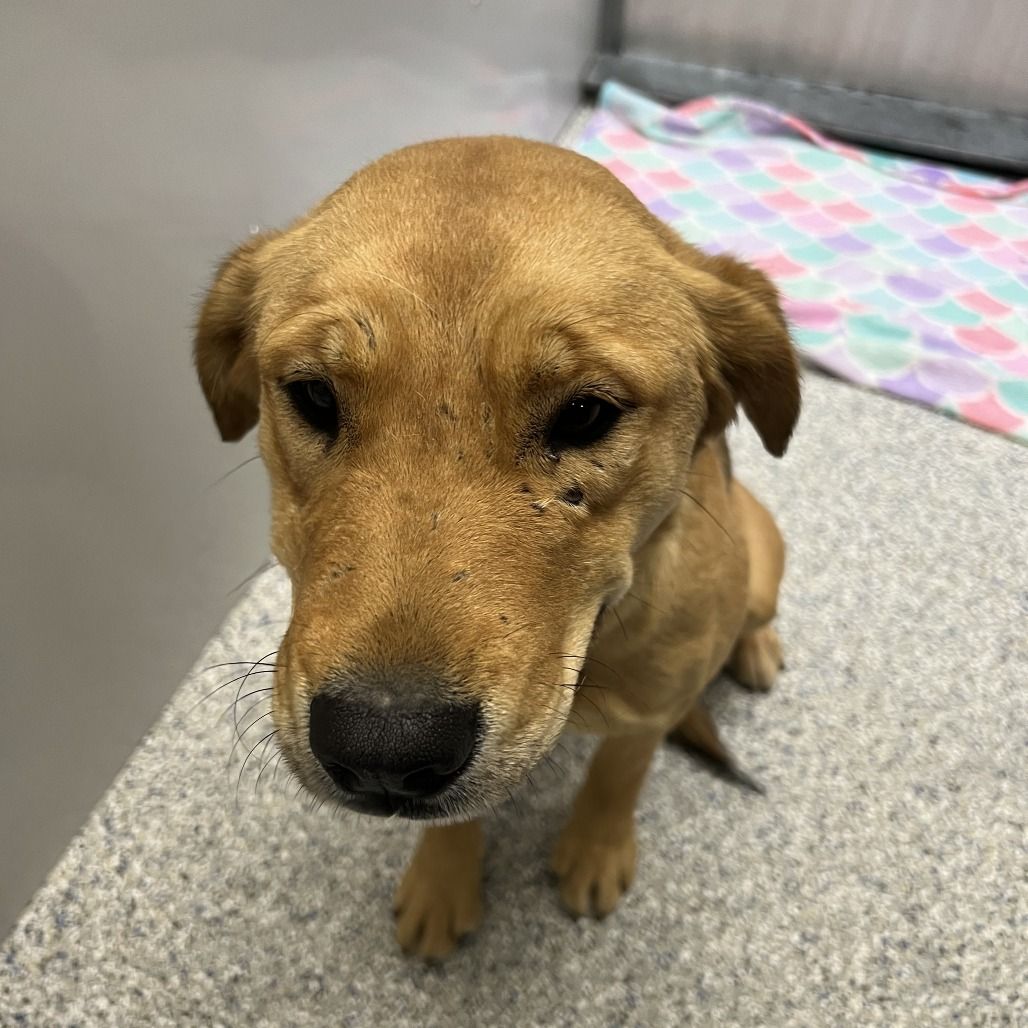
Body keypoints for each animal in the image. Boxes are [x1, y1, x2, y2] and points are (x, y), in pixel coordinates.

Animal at [194, 136, 800, 960]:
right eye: (313, 395)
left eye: (586, 413)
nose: (383, 752)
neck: (592, 654)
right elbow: (463, 818)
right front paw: (442, 879)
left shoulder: (652, 707)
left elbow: (620, 773)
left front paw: (596, 848)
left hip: (761, 559)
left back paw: (756, 648)